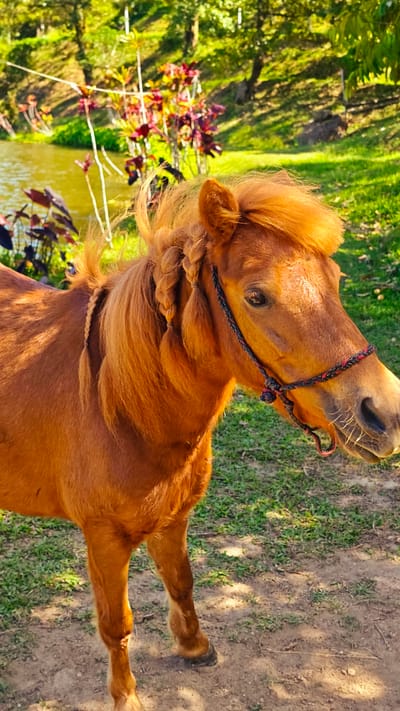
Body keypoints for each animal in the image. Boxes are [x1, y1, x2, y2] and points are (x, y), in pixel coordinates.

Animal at [1, 172, 400, 710]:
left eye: (336, 281)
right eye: (256, 297)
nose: (385, 412)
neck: (119, 404)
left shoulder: (174, 519)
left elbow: (182, 583)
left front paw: (194, 646)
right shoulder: (104, 539)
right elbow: (116, 624)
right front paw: (126, 695)